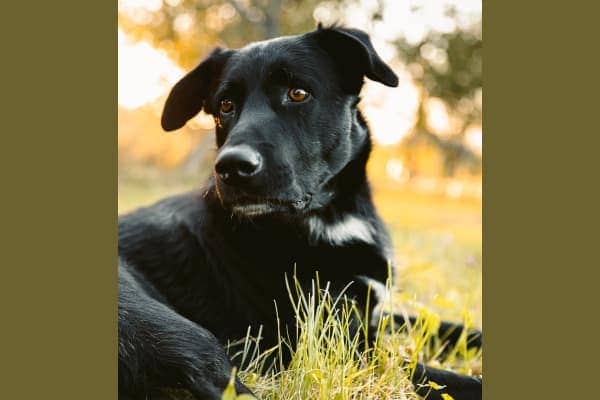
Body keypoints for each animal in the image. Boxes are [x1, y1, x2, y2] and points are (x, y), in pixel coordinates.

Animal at [118, 25, 482, 400]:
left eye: (297, 93)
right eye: (225, 105)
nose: (231, 166)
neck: (331, 217)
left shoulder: (371, 315)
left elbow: (447, 327)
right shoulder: (337, 344)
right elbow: (424, 371)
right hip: (178, 331)